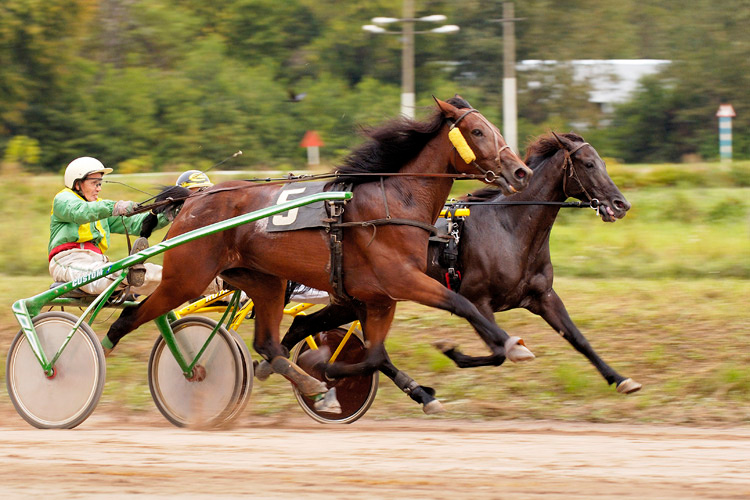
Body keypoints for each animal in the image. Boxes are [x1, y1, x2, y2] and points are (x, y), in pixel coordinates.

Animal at [103, 96, 534, 411]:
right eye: (477, 131)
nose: (521, 172)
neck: (393, 201)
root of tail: (193, 199)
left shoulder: (378, 298)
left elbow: (375, 355)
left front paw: (326, 372)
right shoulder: (402, 280)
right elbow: (463, 304)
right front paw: (511, 345)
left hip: (265, 281)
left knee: (269, 344)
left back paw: (307, 383)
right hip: (186, 278)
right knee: (127, 319)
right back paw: (98, 356)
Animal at [281, 131, 640, 414]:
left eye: (603, 163)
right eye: (589, 164)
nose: (621, 204)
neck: (509, 228)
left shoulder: (542, 297)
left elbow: (578, 338)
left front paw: (621, 379)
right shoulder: (477, 300)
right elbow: (498, 352)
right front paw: (452, 351)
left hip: (354, 300)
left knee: (305, 327)